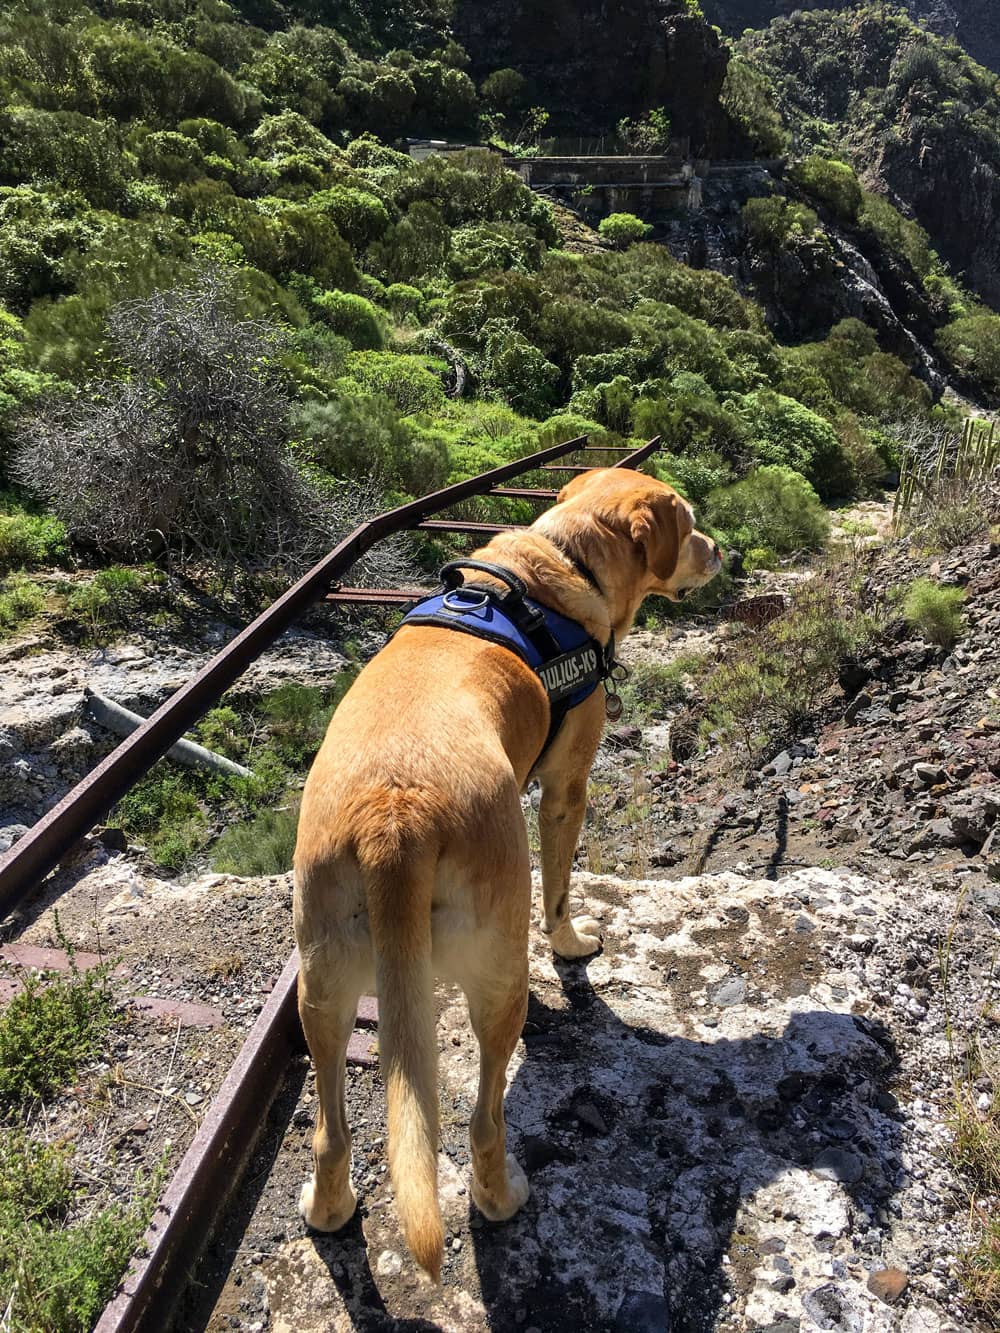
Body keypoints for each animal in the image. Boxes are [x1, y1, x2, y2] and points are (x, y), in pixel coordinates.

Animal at [293, 469, 725, 1279]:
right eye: (688, 523)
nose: (722, 550)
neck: (561, 563)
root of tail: (393, 816)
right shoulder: (565, 787)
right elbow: (559, 889)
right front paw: (575, 942)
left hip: (320, 986)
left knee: (330, 1132)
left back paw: (328, 1207)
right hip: (499, 980)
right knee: (484, 1119)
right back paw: (501, 1195)